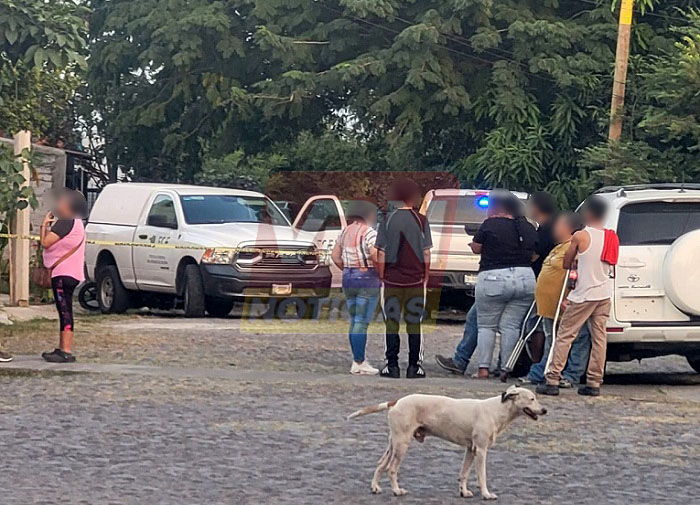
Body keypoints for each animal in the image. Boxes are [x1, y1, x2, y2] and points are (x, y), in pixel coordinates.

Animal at [348, 386, 548, 496]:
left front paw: (464, 492)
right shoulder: (481, 451)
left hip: (394, 444)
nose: (545, 410)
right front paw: (486, 494)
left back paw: (375, 487)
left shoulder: (471, 450)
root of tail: (395, 401)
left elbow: (464, 473)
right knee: (391, 469)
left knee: (380, 465)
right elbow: (482, 476)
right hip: (402, 445)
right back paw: (397, 491)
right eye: (532, 399)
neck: (496, 410)